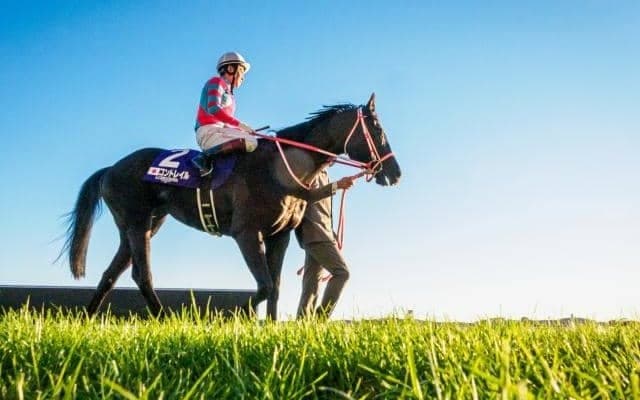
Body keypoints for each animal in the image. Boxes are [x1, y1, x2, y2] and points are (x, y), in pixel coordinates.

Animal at [61, 93, 401, 319]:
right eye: (378, 130)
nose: (395, 173)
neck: (279, 167)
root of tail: (111, 169)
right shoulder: (247, 234)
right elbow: (263, 287)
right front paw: (235, 317)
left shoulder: (279, 236)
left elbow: (275, 287)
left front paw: (270, 328)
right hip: (137, 224)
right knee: (142, 275)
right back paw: (164, 318)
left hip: (142, 226)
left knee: (111, 274)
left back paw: (87, 319)